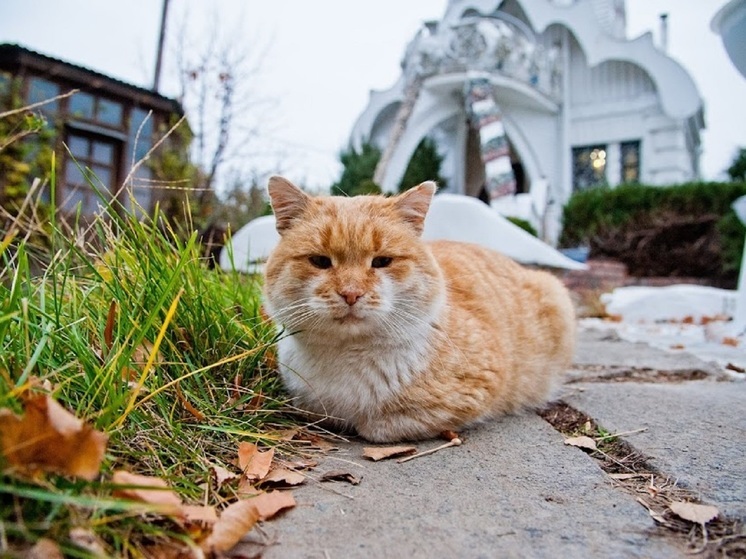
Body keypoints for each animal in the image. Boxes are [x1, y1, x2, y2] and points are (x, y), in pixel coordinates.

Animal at [264, 177, 576, 444]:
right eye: (319, 261)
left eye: (382, 261)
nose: (351, 293)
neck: (345, 357)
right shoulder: (304, 403)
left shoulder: (478, 388)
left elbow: (376, 426)